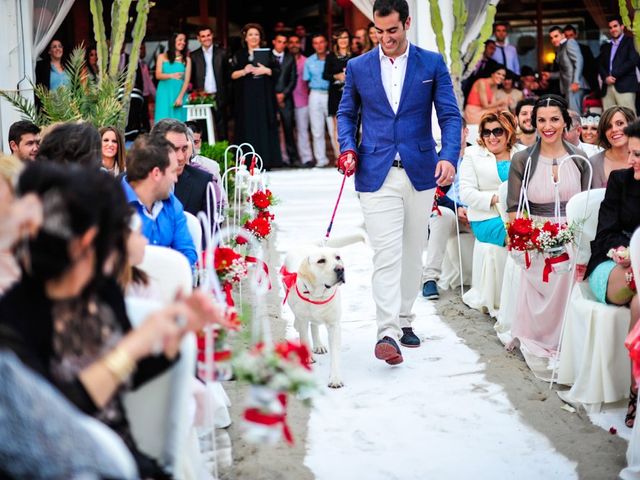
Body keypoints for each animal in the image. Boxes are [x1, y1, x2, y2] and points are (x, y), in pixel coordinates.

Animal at [282, 246, 344, 388]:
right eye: (321, 261)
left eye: (338, 257)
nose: (340, 269)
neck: (318, 296)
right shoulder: (303, 319)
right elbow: (304, 338)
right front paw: (307, 358)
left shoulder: (334, 325)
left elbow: (335, 355)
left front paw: (335, 378)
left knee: (314, 325)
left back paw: (318, 345)